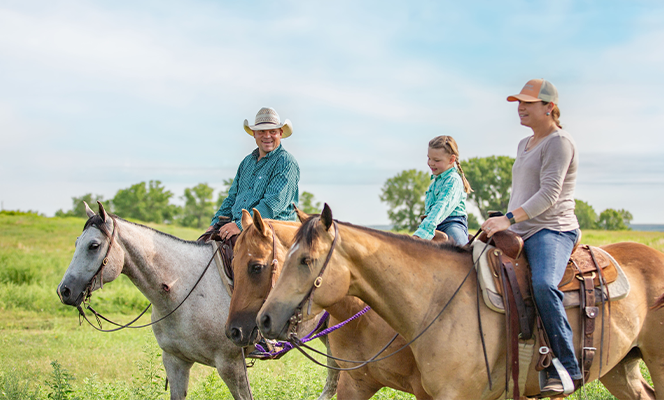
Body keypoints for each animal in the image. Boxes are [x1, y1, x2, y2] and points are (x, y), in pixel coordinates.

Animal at [55, 203, 338, 400]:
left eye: (93, 245)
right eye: (78, 242)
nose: (64, 291)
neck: (179, 291)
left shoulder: (232, 365)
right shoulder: (175, 360)